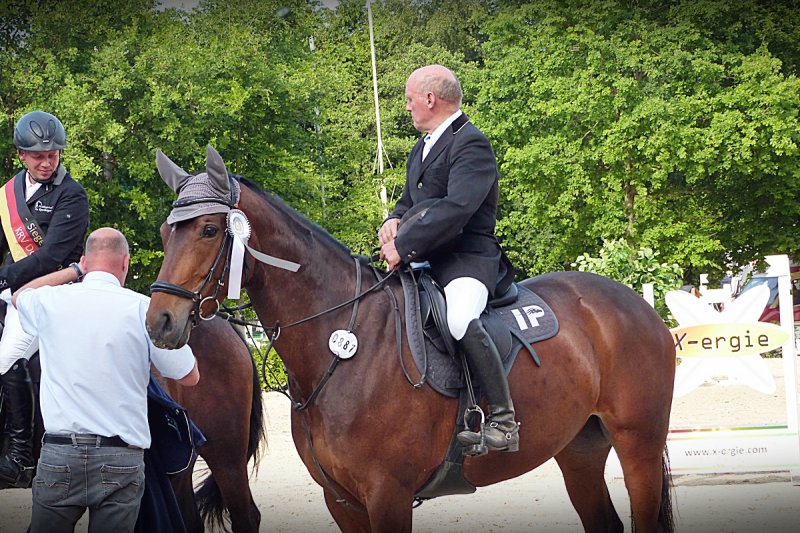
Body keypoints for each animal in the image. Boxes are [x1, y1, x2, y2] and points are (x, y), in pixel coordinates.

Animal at [146, 152, 676, 532]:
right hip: (580, 449)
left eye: (209, 229)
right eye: (166, 233)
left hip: (639, 445)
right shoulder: (342, 500)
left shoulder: (388, 496)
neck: (342, 344)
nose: (160, 322)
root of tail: (635, 301)